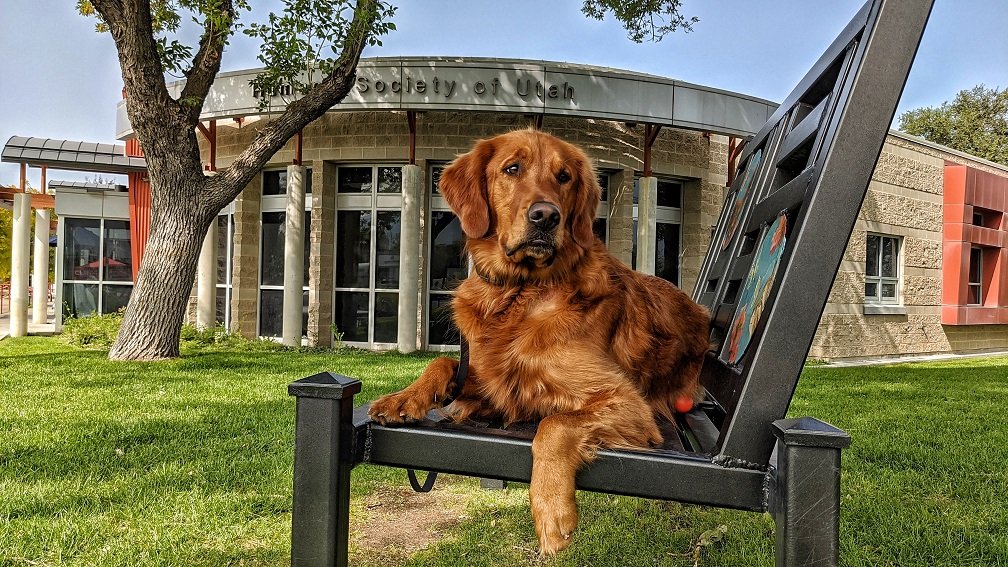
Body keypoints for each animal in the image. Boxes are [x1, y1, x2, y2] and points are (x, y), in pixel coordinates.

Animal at [368, 127, 709, 552]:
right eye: (512, 168)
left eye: (564, 177)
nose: (546, 216)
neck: (521, 290)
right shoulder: (493, 385)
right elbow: (443, 362)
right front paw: (404, 398)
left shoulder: (626, 402)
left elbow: (554, 425)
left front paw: (552, 510)